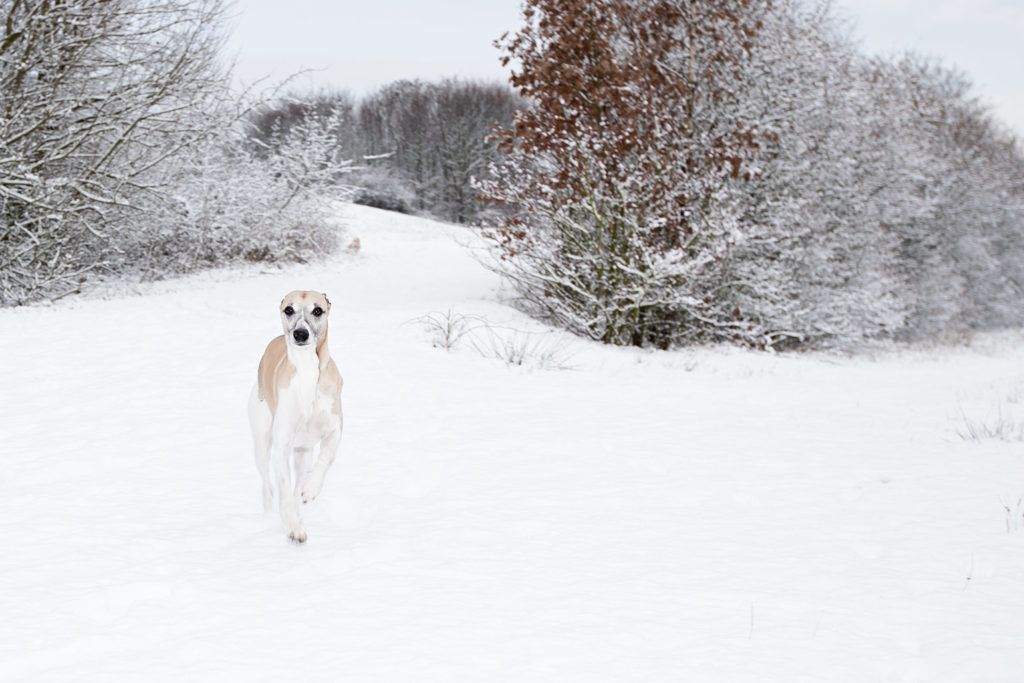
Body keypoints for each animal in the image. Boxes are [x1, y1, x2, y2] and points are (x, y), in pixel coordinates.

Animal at [247, 290, 344, 544]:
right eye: (288, 309)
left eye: (318, 310)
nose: (300, 333)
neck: (307, 367)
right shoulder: (281, 445)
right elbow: (283, 487)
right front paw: (293, 528)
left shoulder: (335, 428)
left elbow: (325, 458)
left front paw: (311, 489)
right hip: (262, 441)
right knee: (268, 482)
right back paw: (270, 509)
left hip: (303, 453)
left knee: (297, 481)